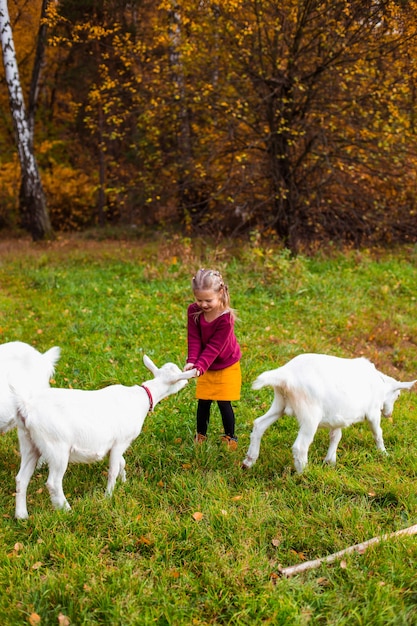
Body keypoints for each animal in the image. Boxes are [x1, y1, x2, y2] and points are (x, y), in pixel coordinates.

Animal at [13, 354, 195, 520]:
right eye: (178, 376)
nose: (187, 381)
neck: (141, 398)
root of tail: (27, 409)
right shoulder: (120, 441)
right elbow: (113, 469)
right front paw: (109, 496)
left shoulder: (116, 444)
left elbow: (122, 462)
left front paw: (124, 482)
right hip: (56, 446)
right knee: (53, 482)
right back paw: (67, 510)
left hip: (29, 443)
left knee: (21, 479)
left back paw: (22, 516)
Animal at [242, 352, 414, 472]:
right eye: (398, 395)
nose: (388, 414)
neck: (379, 384)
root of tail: (285, 375)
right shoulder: (373, 413)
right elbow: (378, 433)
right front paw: (384, 453)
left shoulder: (337, 416)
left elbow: (336, 436)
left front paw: (330, 461)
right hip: (310, 416)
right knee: (300, 446)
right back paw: (305, 474)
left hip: (280, 404)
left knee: (259, 424)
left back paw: (249, 461)